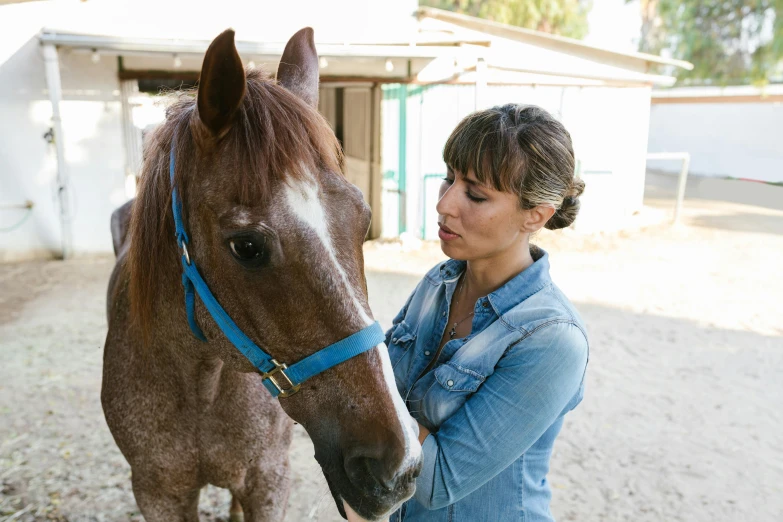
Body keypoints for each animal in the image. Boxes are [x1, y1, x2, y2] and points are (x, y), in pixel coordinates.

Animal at [104, 28, 422, 520]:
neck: (202, 384)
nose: (400, 465)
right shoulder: (157, 493)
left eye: (364, 219)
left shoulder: (269, 481)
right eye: (247, 247)